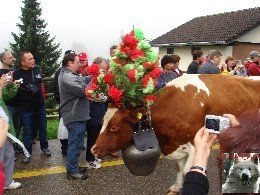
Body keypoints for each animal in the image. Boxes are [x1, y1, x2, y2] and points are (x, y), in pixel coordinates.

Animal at [91, 74, 260, 194]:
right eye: (102, 121)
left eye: (113, 127)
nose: (93, 149)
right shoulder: (179, 144)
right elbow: (179, 168)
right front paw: (175, 186)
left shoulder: (194, 145)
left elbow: (187, 170)